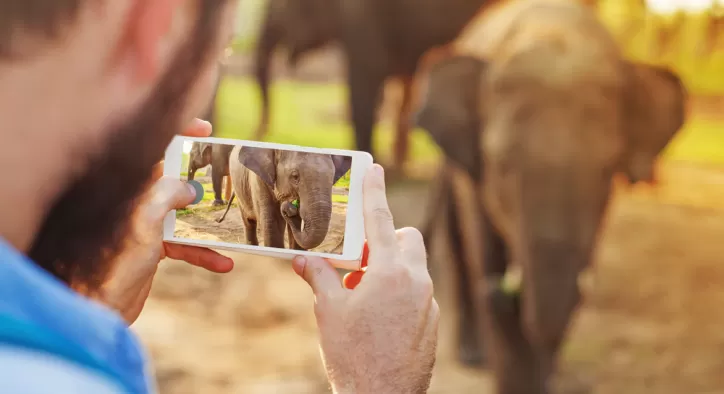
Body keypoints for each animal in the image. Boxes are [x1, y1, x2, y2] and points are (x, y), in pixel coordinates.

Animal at [219, 145, 352, 249]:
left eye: (332, 178)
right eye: (295, 176)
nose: (290, 207)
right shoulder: (258, 180)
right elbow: (273, 226)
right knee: (248, 222)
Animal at [252, 0, 500, 172]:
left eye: (281, 6)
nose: (261, 132)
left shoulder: (363, 16)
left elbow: (365, 82)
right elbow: (406, 80)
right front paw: (396, 166)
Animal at [412, 1, 692, 392]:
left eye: (608, 170)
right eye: (502, 166)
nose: (500, 292)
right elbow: (484, 250)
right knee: (459, 244)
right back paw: (472, 352)